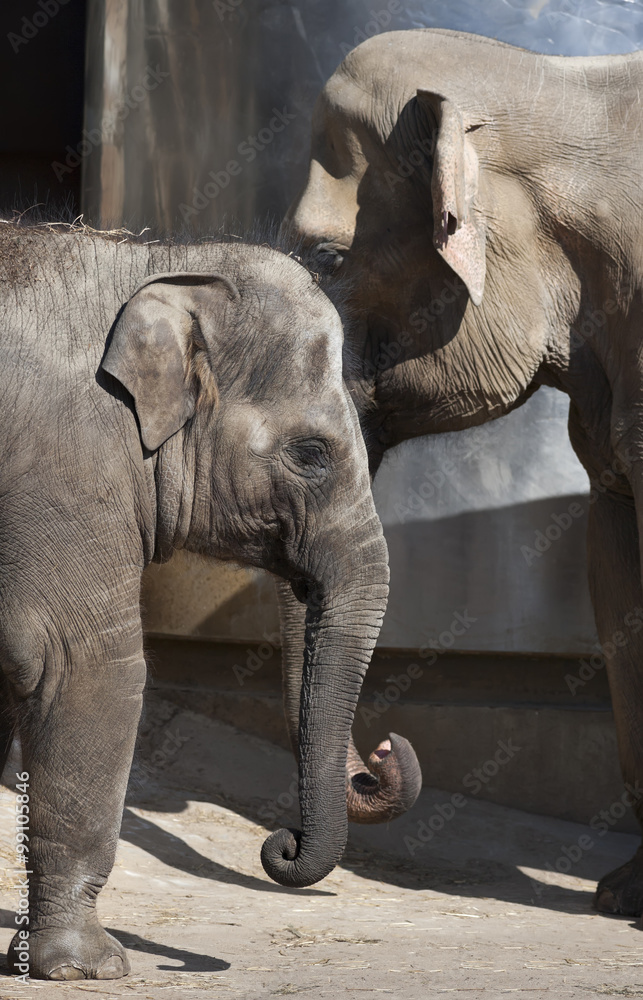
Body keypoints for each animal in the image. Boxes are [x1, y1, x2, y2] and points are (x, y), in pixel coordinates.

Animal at [0, 221, 390, 979]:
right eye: (311, 453)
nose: (281, 844)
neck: (154, 262)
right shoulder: (69, 469)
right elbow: (82, 666)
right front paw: (89, 969)